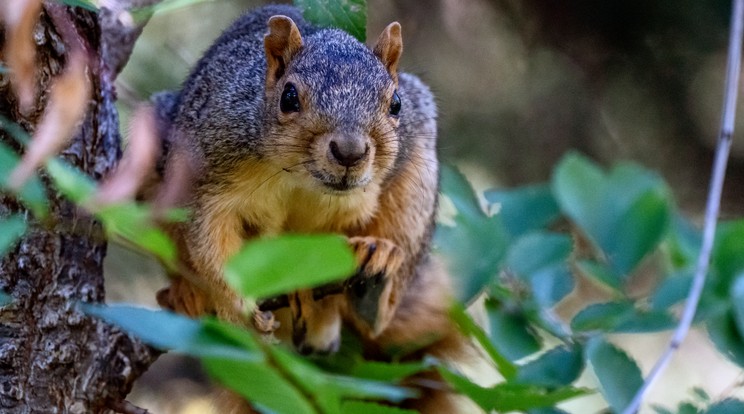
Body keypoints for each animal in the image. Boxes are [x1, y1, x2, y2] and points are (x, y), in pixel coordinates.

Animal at [142, 4, 474, 412]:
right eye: (288, 97)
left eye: (395, 104)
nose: (350, 152)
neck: (300, 178)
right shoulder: (204, 169)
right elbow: (210, 239)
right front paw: (237, 308)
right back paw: (187, 294)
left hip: (417, 180)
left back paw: (371, 286)